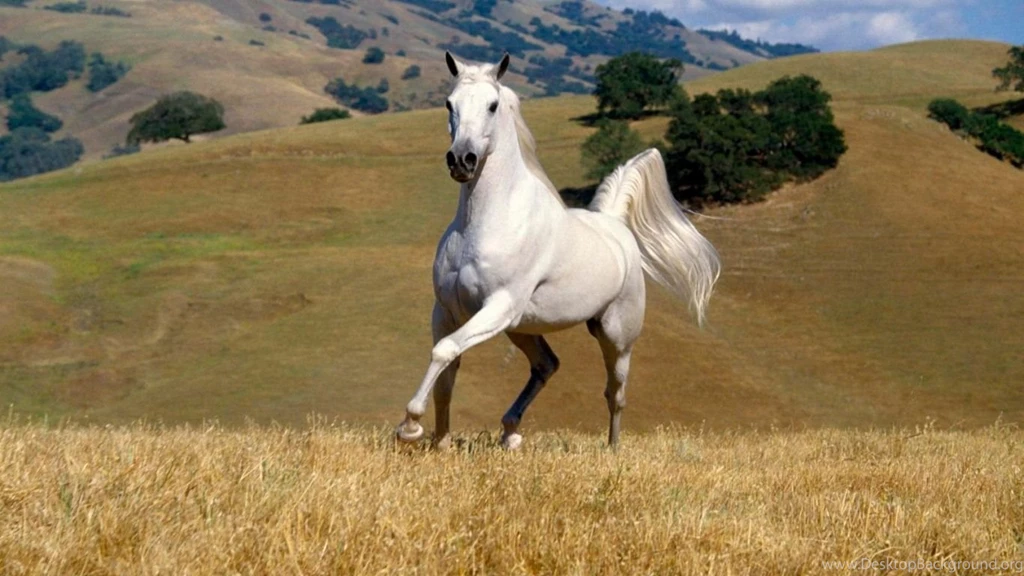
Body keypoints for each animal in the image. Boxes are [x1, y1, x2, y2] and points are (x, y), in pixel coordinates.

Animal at [395, 52, 721, 449]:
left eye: (492, 105)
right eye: (449, 103)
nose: (461, 160)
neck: (483, 223)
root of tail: (614, 224)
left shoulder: (498, 306)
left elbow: (444, 351)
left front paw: (410, 427)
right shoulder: (447, 310)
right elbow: (446, 372)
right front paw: (439, 443)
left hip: (615, 336)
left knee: (615, 393)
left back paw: (612, 450)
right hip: (521, 328)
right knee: (547, 364)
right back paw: (510, 432)